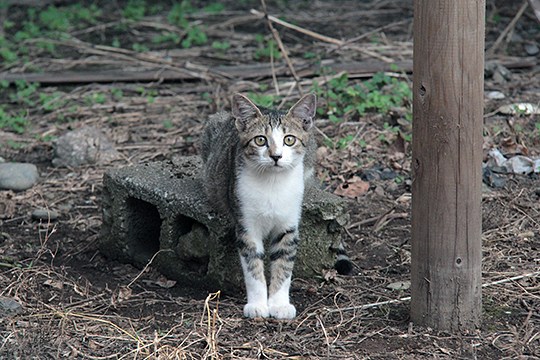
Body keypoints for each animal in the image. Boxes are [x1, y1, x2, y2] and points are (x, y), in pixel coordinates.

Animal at [200, 94, 348, 320]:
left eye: (289, 139)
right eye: (260, 140)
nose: (276, 156)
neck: (272, 183)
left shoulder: (288, 224)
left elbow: (284, 264)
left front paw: (279, 304)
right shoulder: (246, 223)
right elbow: (252, 265)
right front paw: (257, 305)